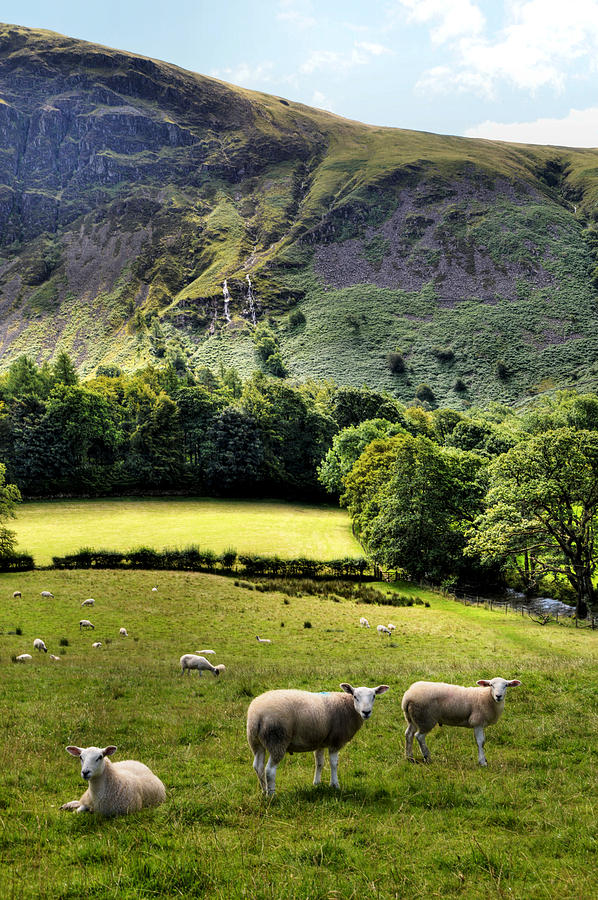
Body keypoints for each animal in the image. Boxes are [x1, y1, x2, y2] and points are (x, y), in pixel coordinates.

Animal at [247, 684, 392, 796]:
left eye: (374, 696)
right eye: (355, 696)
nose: (366, 712)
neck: (348, 707)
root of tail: (257, 715)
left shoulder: (321, 742)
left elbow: (319, 763)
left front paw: (316, 784)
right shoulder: (335, 741)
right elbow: (334, 764)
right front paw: (335, 785)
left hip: (256, 742)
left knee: (258, 767)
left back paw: (264, 791)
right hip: (277, 740)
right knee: (269, 770)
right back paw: (272, 794)